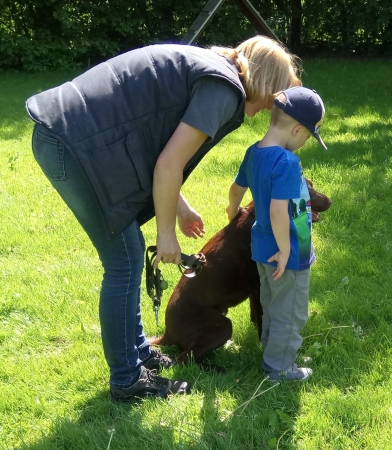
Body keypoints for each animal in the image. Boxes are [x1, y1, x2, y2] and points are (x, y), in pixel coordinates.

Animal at [150, 179, 330, 366]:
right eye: (308, 189)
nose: (330, 201)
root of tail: (168, 334)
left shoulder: (255, 290)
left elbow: (256, 317)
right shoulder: (260, 287)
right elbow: (262, 320)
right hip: (222, 326)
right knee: (184, 358)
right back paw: (216, 368)